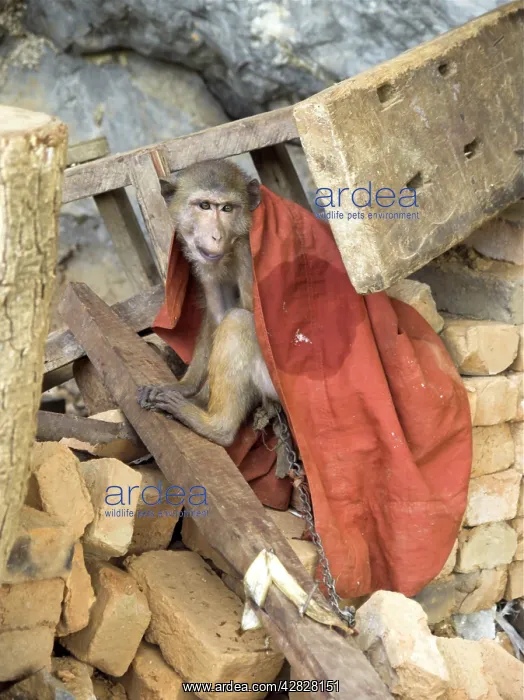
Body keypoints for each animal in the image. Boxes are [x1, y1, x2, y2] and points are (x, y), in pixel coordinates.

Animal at [137, 159, 280, 448]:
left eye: (227, 208)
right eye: (204, 205)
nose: (216, 236)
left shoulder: (247, 250)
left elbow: (250, 313)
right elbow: (217, 312)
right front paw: (185, 387)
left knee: (239, 321)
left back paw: (215, 427)